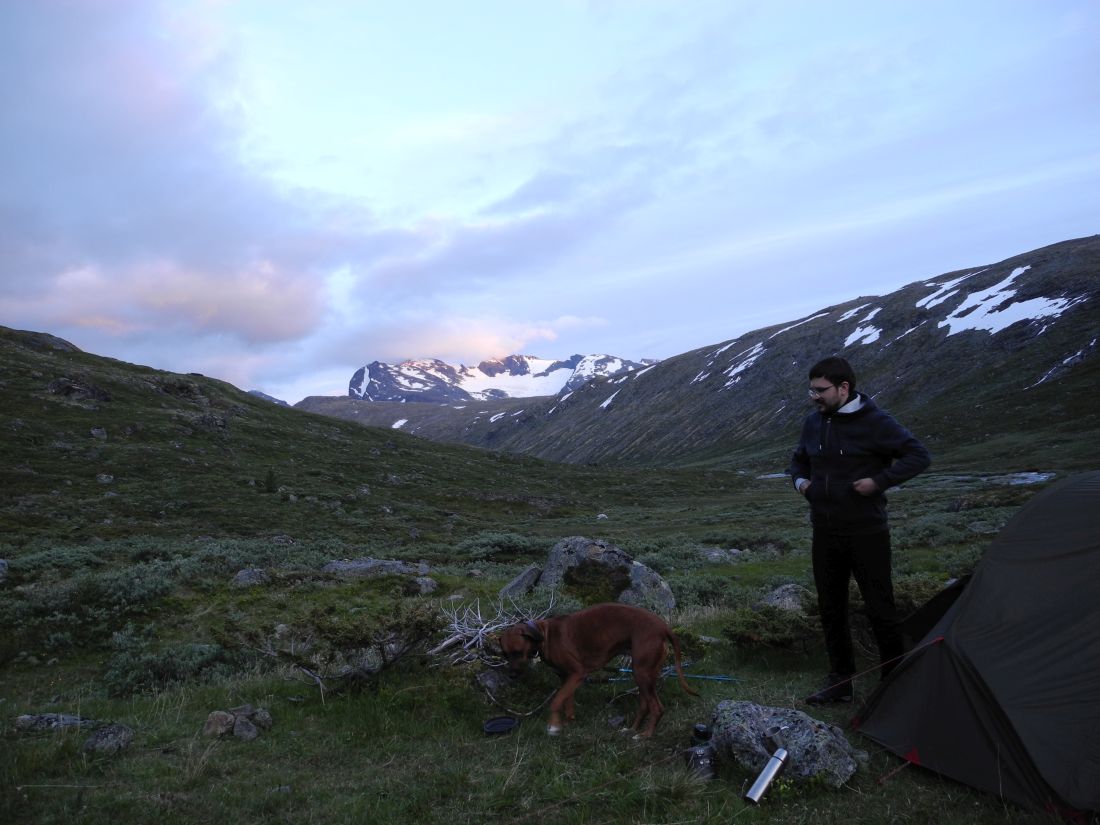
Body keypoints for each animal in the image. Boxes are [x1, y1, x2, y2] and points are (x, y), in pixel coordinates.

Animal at [499, 602, 695, 734]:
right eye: (505, 654)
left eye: (517, 652)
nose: (512, 675)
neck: (544, 635)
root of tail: (663, 627)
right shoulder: (567, 679)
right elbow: (566, 701)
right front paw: (568, 722)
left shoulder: (577, 673)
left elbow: (556, 701)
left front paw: (554, 725)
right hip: (645, 675)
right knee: (645, 705)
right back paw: (632, 730)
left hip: (642, 673)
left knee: (657, 708)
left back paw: (645, 736)